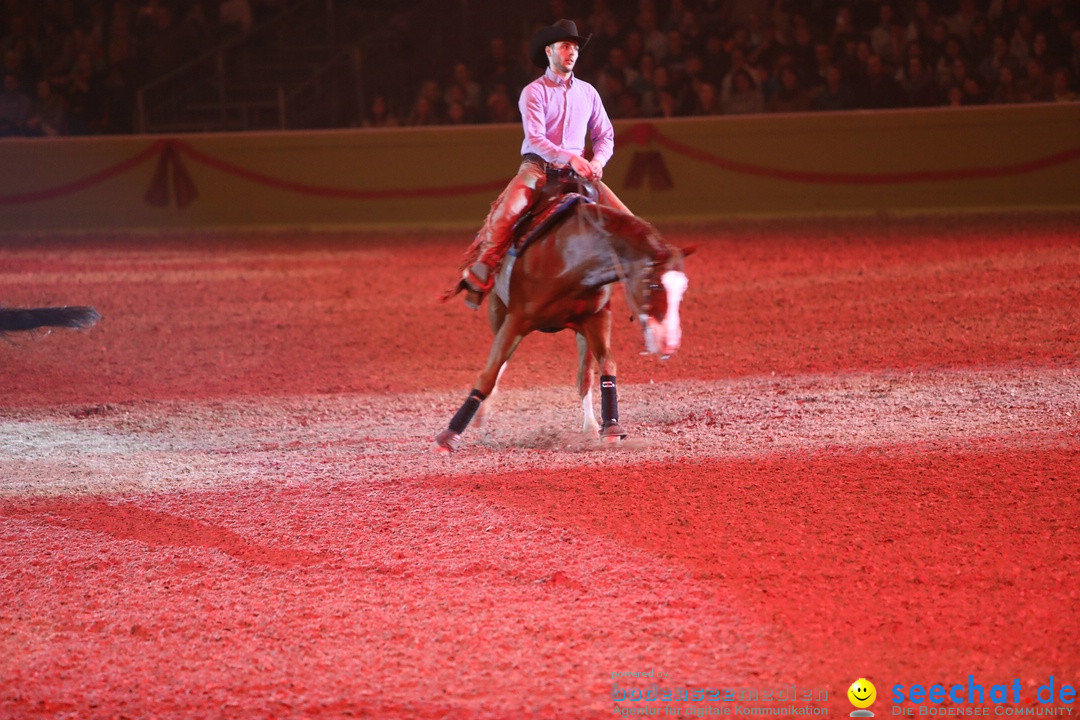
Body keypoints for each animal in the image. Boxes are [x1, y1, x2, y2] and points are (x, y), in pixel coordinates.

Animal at [434, 199, 686, 453]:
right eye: (654, 285)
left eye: (682, 289)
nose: (670, 342)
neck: (572, 260)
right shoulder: (516, 319)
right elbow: (489, 374)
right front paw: (449, 436)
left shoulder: (596, 319)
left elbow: (606, 365)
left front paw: (611, 428)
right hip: (498, 311)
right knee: (500, 364)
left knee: (584, 376)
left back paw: (591, 426)